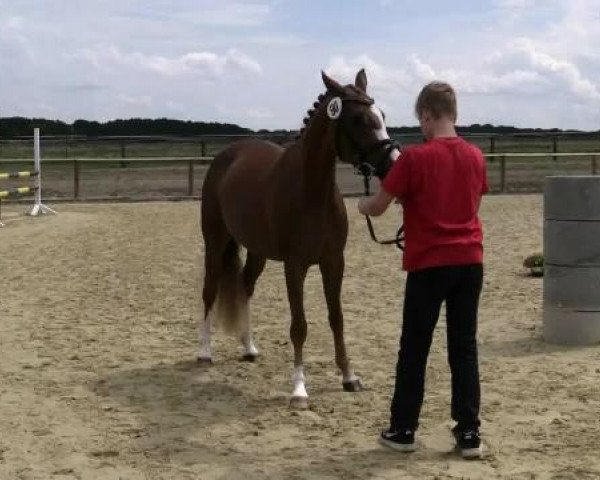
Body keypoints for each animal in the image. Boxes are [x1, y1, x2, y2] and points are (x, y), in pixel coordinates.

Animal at [199, 67, 400, 406]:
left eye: (382, 115)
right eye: (358, 119)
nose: (394, 163)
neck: (312, 192)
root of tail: (226, 156)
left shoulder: (334, 262)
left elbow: (337, 318)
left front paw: (349, 377)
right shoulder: (295, 266)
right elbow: (299, 325)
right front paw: (299, 389)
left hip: (257, 251)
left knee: (245, 287)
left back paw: (249, 348)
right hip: (214, 243)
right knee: (209, 291)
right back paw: (204, 352)